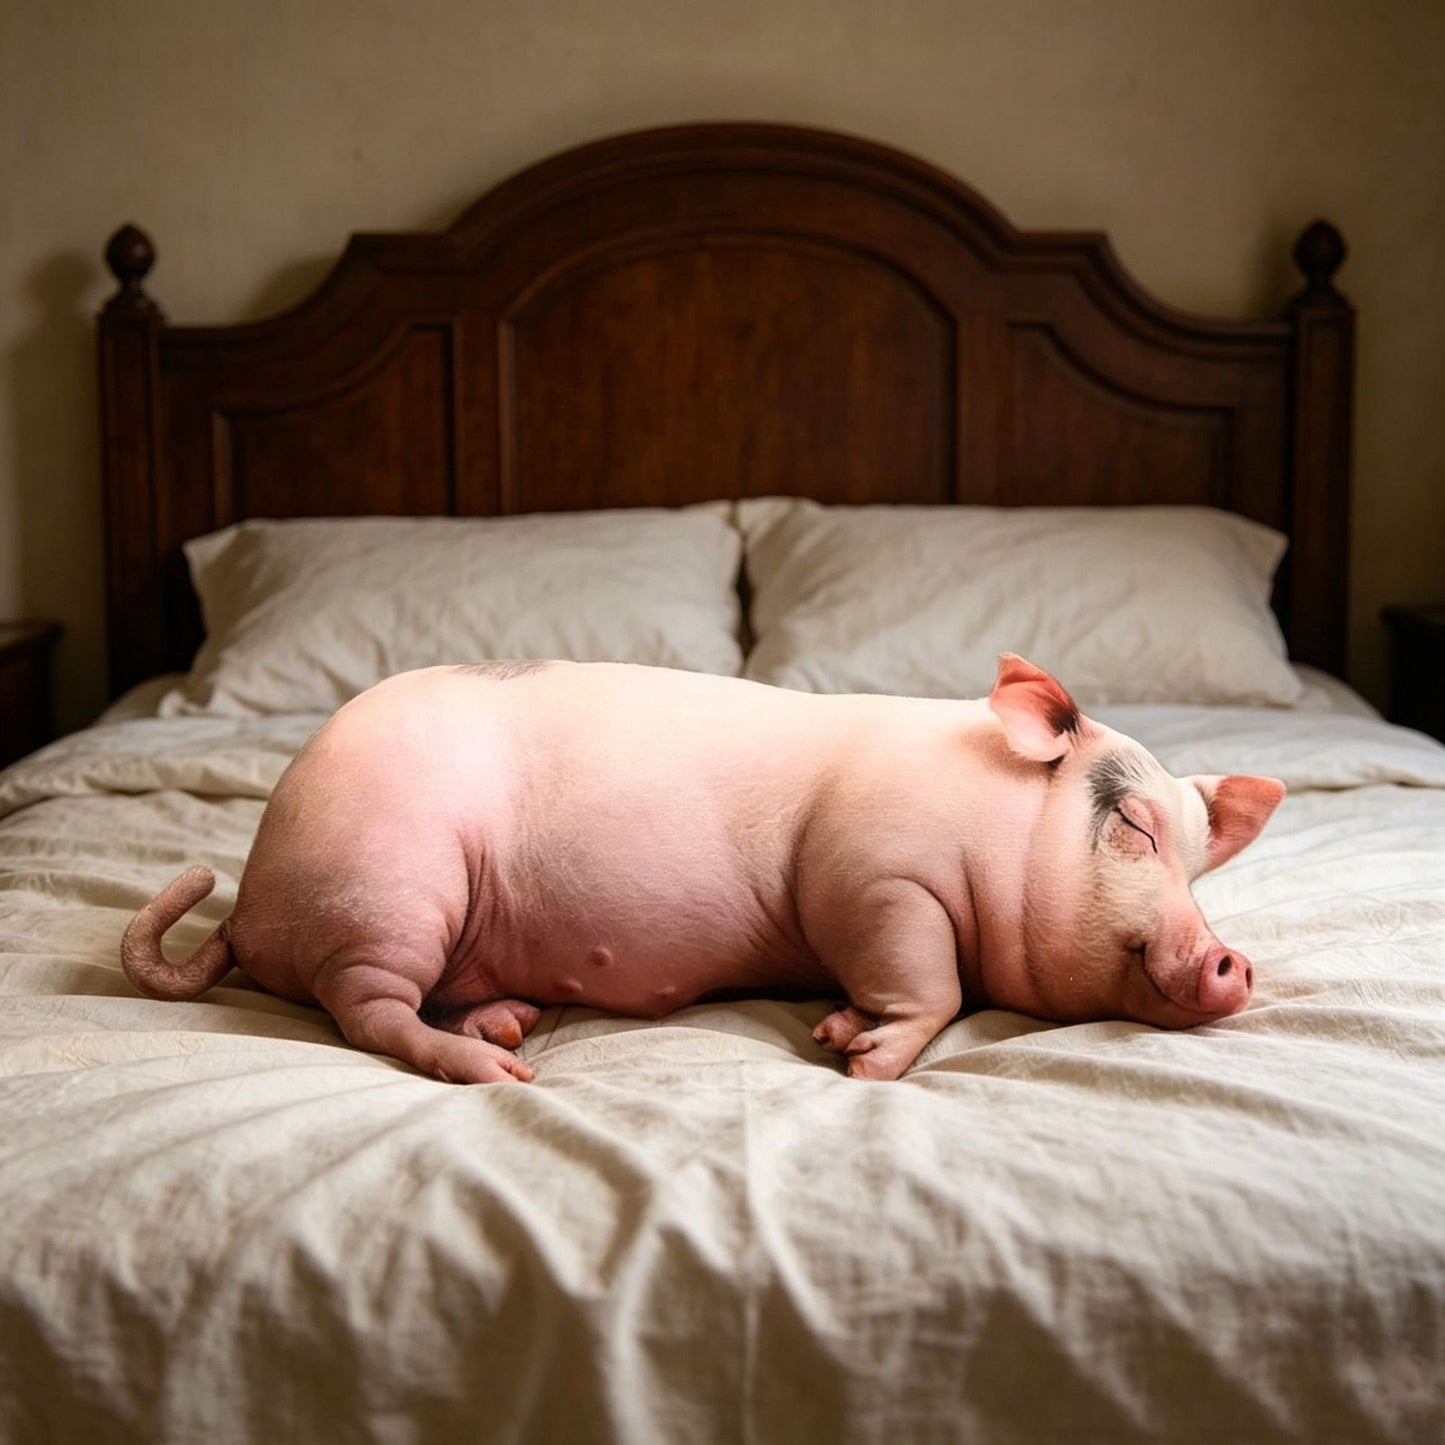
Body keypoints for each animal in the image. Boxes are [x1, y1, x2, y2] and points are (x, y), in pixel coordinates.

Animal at [121, 656, 1284, 1084]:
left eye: (1197, 862)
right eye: (1130, 823)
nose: (1231, 961)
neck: (993, 831)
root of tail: (252, 904)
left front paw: (838, 1033)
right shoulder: (874, 878)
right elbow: (930, 980)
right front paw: (857, 1055)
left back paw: (504, 1024)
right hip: (390, 887)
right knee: (369, 1011)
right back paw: (502, 1070)